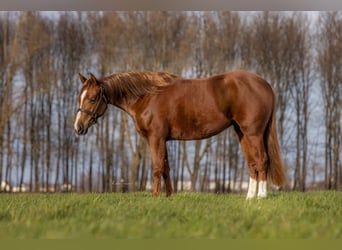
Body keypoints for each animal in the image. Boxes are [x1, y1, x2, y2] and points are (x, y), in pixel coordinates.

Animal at [74, 69, 286, 198]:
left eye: (92, 99)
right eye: (80, 97)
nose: (78, 127)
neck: (147, 96)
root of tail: (265, 84)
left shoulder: (156, 138)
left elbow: (157, 167)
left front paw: (155, 196)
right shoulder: (163, 140)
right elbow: (166, 168)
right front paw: (169, 196)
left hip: (254, 134)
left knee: (262, 161)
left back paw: (261, 197)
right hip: (242, 133)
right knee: (252, 164)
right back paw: (249, 197)